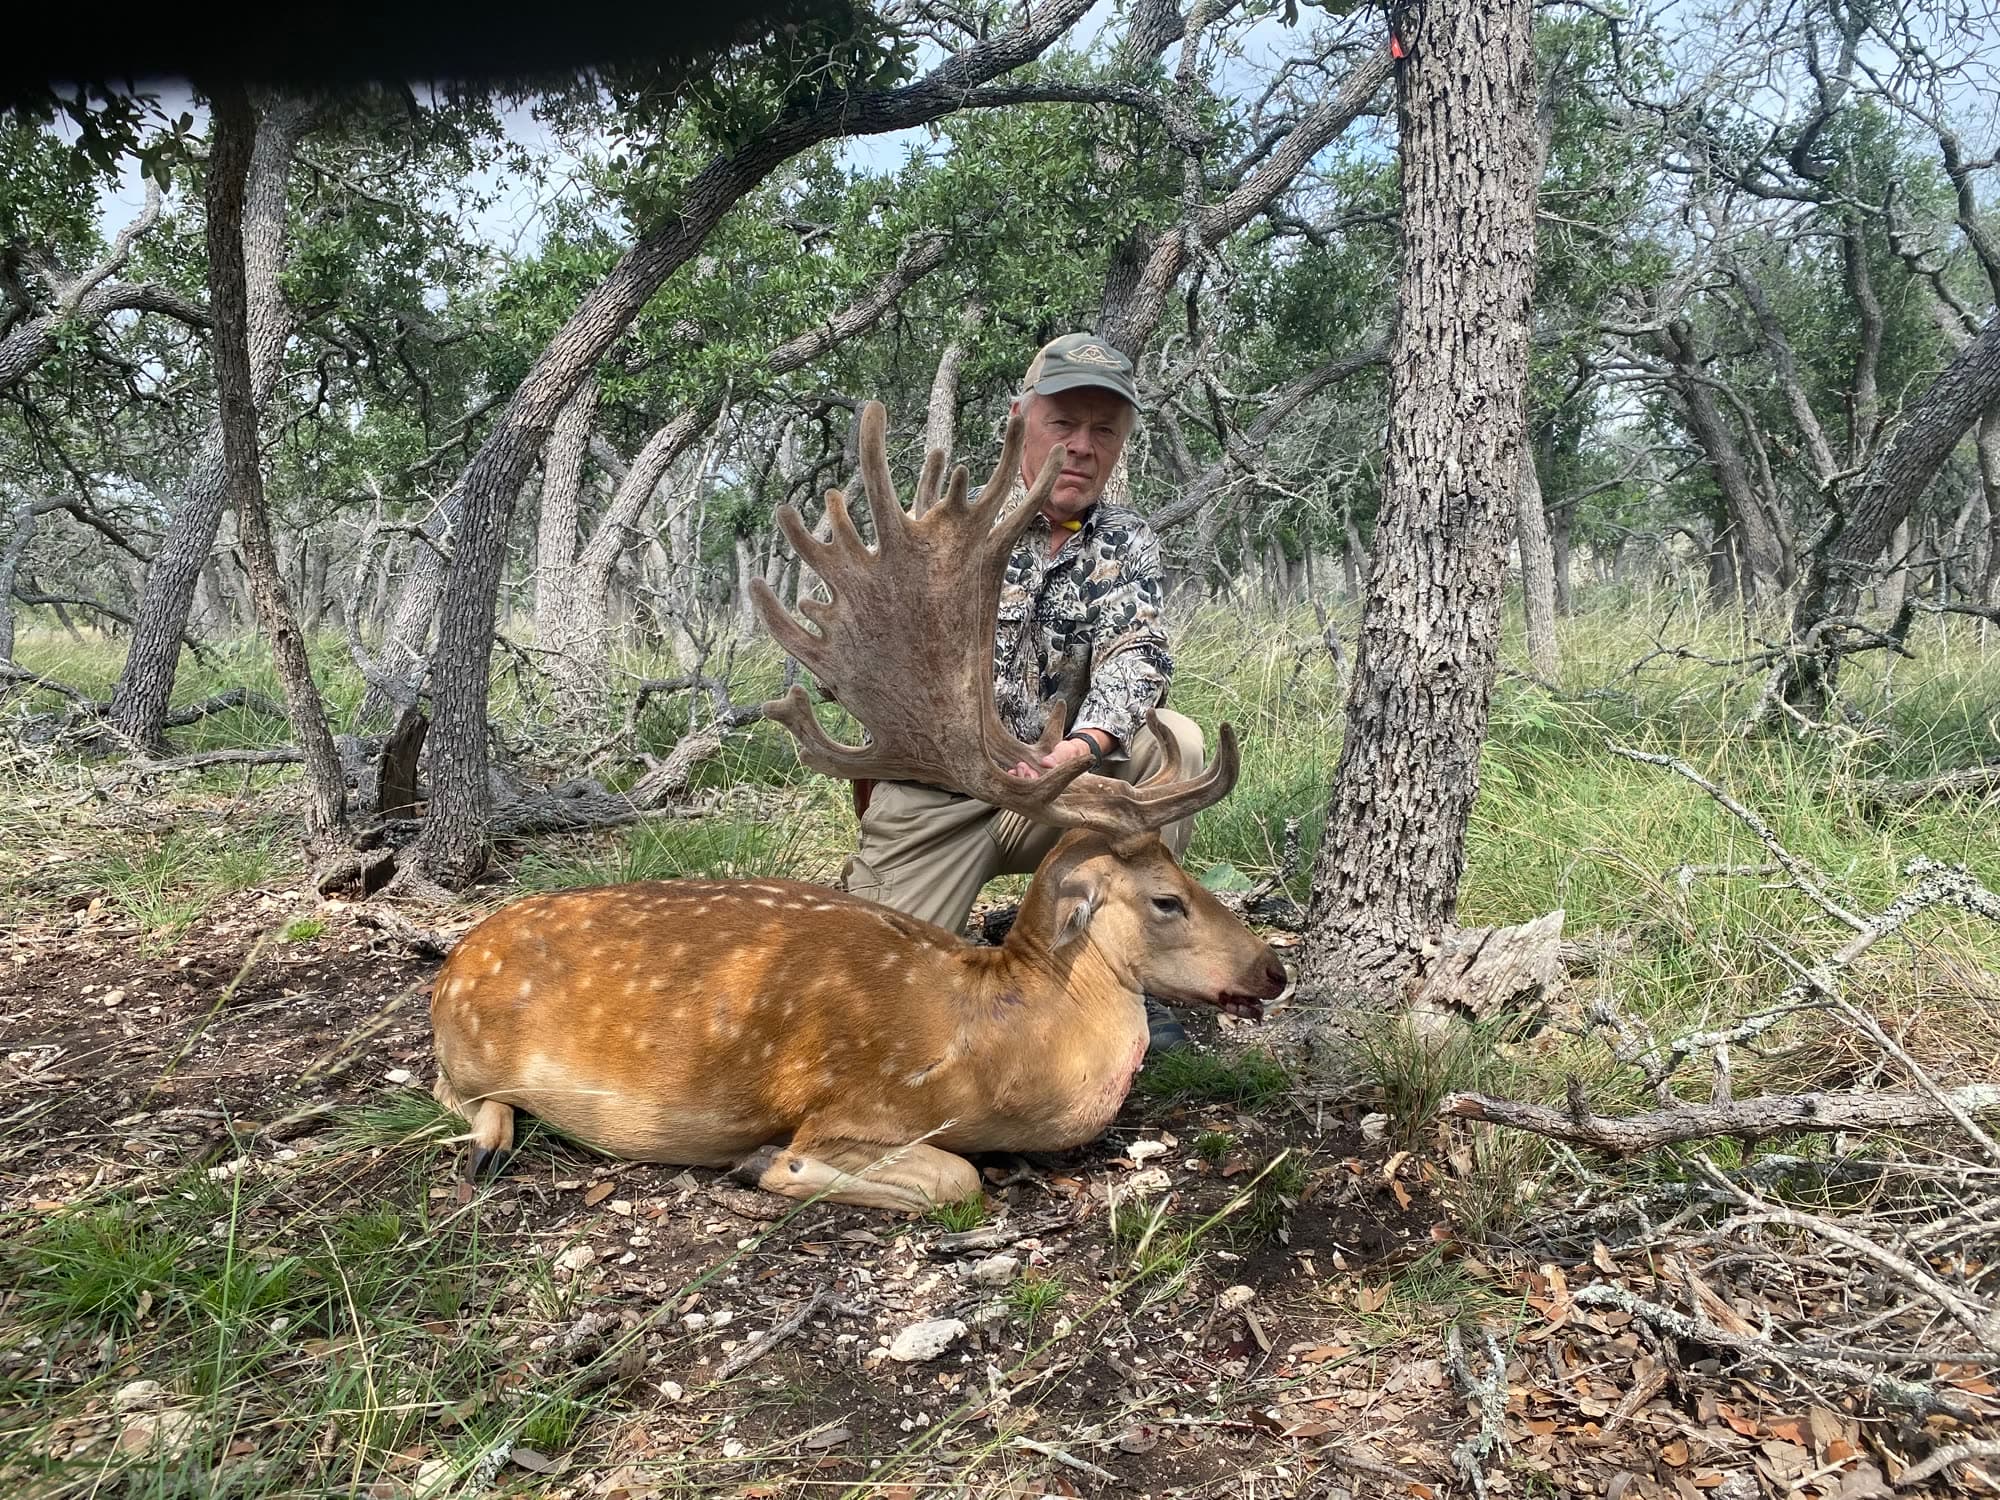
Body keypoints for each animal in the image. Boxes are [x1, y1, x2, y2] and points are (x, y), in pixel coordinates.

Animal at [429, 401, 1290, 1213]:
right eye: (1167, 899)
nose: (1273, 968)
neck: (1002, 1045)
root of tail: (453, 964)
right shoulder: (851, 1105)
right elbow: (954, 1180)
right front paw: (760, 1164)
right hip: (469, 1052)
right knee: (450, 1090)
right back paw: (490, 1144)